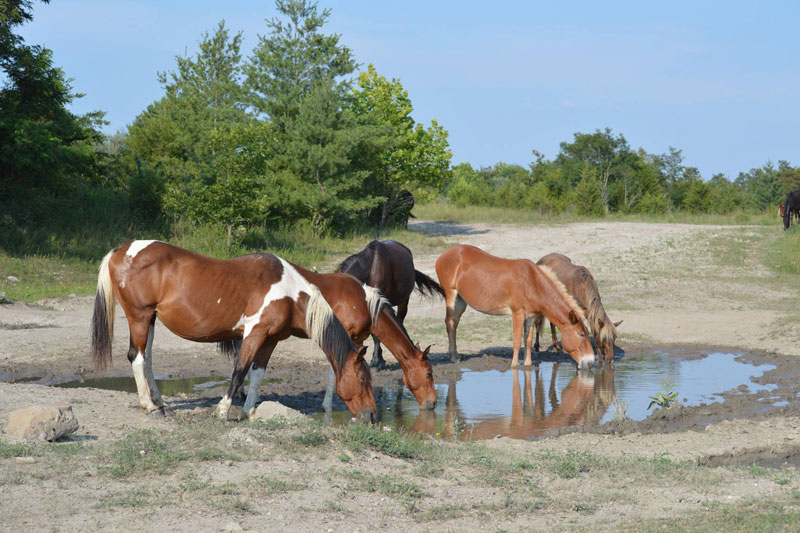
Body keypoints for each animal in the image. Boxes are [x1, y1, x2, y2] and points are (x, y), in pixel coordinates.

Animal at [92, 240, 380, 420]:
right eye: (363, 379)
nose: (373, 416)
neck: (289, 293)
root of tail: (120, 251)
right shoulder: (254, 333)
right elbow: (239, 371)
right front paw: (222, 411)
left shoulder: (270, 340)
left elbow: (257, 375)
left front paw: (249, 412)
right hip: (139, 316)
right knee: (138, 358)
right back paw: (150, 407)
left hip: (150, 319)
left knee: (147, 359)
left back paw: (160, 403)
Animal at [434, 244, 596, 366]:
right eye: (581, 334)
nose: (590, 361)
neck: (532, 282)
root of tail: (444, 255)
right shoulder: (517, 313)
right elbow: (517, 340)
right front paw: (514, 365)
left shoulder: (531, 316)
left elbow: (528, 341)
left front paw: (528, 364)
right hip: (451, 294)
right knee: (449, 322)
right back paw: (454, 357)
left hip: (462, 300)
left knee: (454, 323)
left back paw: (454, 354)